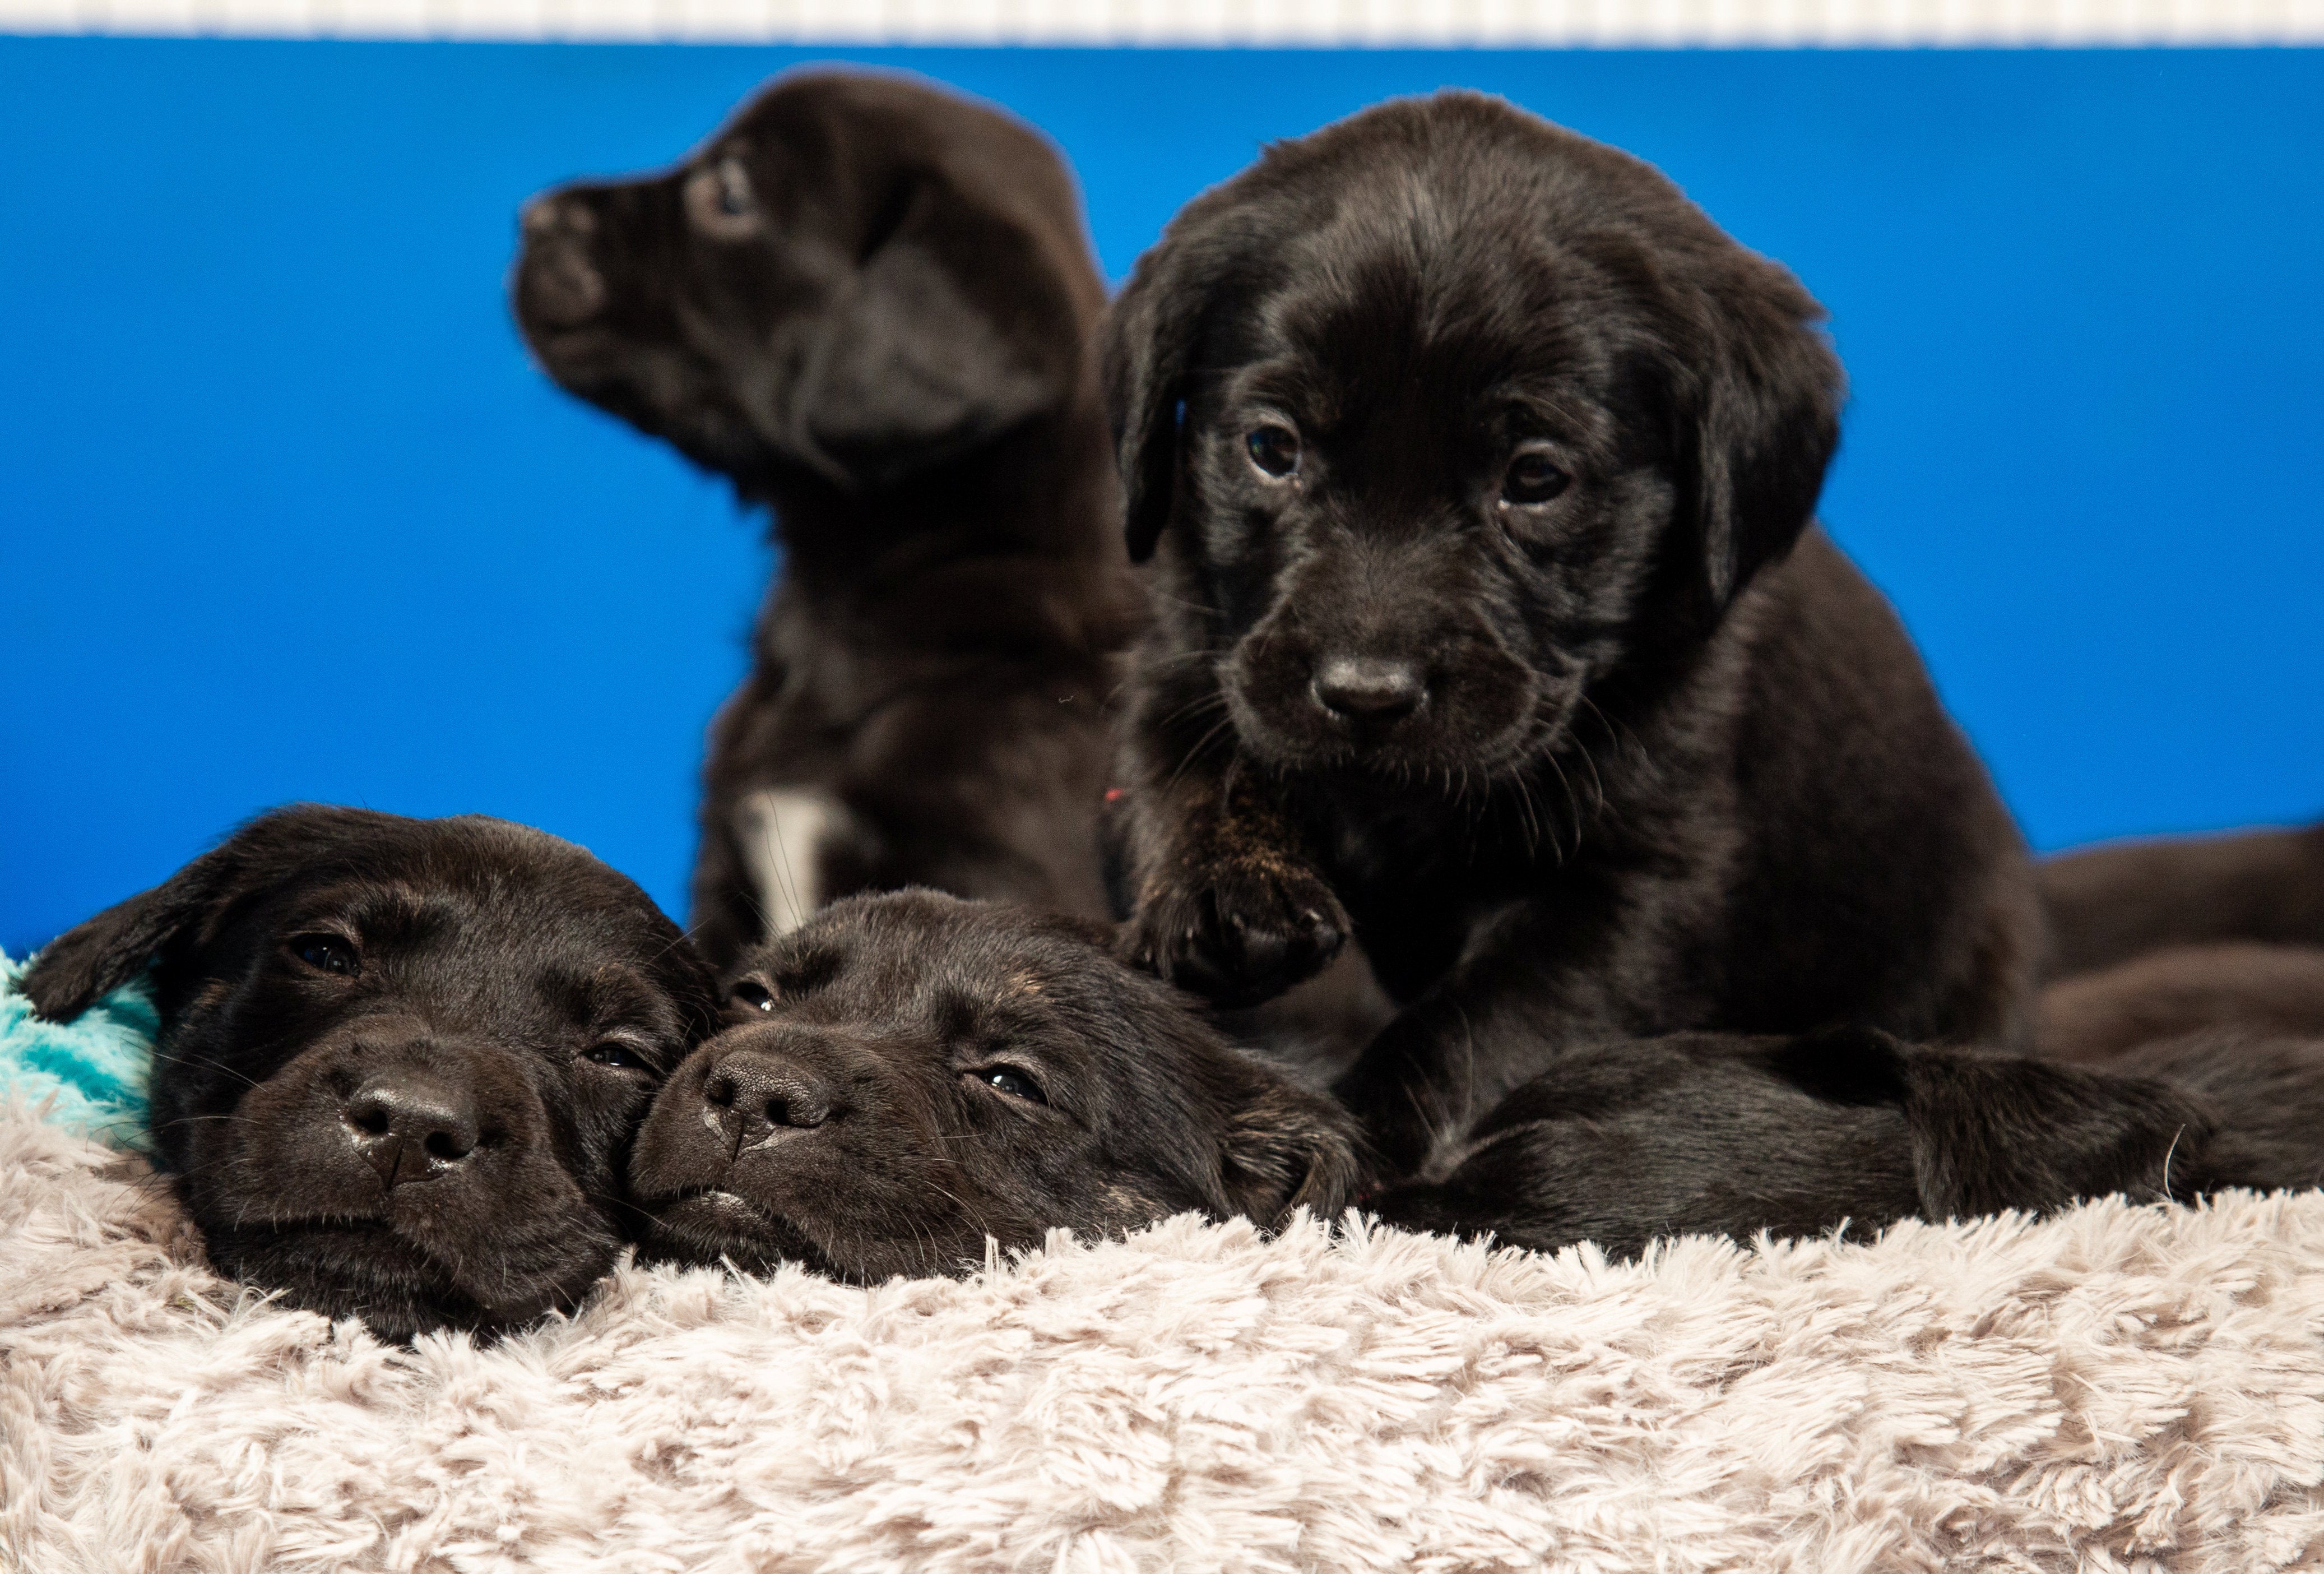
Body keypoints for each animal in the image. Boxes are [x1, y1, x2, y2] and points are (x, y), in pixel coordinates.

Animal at [1101, 86, 2035, 1167]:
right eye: (1269, 447)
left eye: (1536, 478)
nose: (1365, 695)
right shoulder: (1194, 656)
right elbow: (1181, 767)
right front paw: (1219, 890)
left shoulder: (1634, 890)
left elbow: (1476, 1029)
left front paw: (1365, 1133)